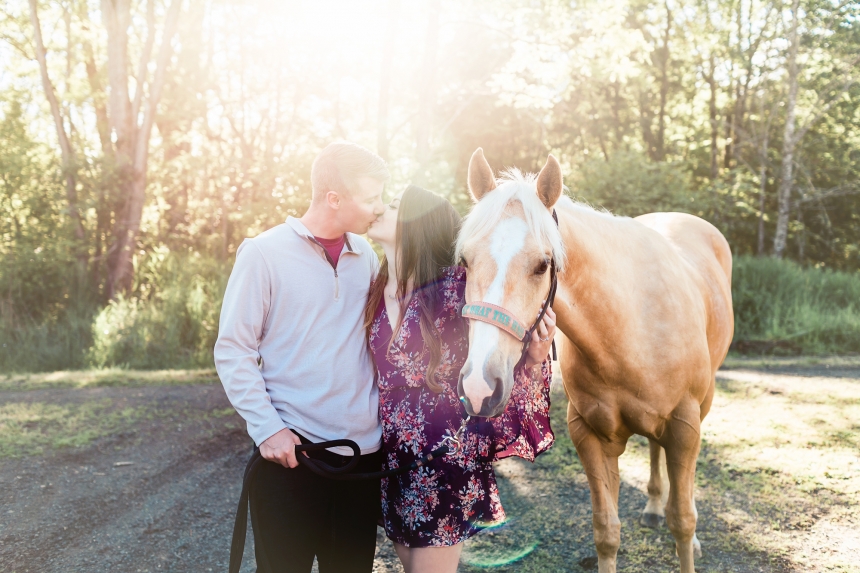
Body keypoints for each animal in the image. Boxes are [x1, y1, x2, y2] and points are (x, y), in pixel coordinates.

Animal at [456, 149, 732, 572]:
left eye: (542, 264)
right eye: (466, 261)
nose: (478, 387)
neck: (631, 329)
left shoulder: (684, 426)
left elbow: (683, 521)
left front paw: (689, 536)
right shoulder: (589, 434)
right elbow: (606, 530)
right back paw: (653, 505)